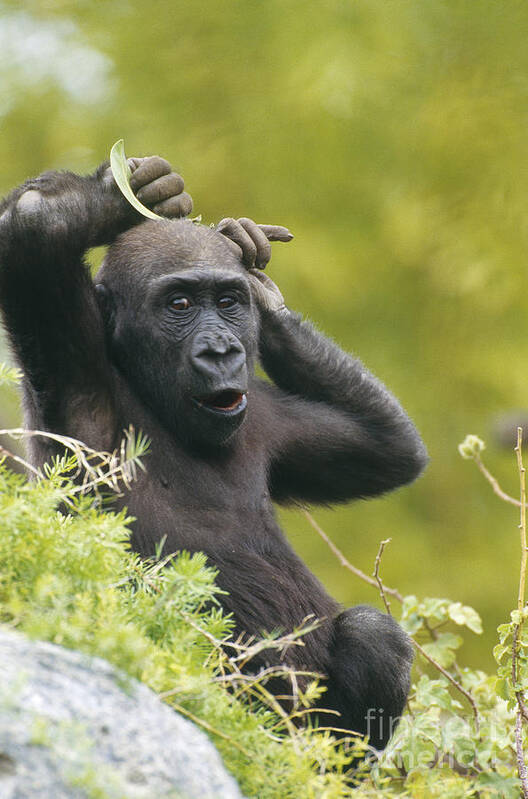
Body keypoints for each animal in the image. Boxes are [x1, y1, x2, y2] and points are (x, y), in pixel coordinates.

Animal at [0, 155, 426, 752]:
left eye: (227, 302)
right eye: (179, 304)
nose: (222, 350)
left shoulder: (270, 418)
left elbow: (390, 448)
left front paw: (261, 283)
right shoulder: (78, 379)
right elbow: (33, 231)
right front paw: (117, 196)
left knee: (372, 635)